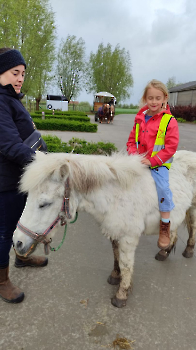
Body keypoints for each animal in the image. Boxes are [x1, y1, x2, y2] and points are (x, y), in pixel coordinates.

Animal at [13, 149, 196, 308]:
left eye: (44, 204)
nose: (17, 242)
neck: (116, 195)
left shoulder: (129, 238)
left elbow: (126, 265)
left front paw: (121, 295)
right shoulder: (115, 232)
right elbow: (116, 256)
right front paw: (115, 277)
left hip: (193, 208)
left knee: (192, 228)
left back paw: (187, 250)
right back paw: (164, 251)